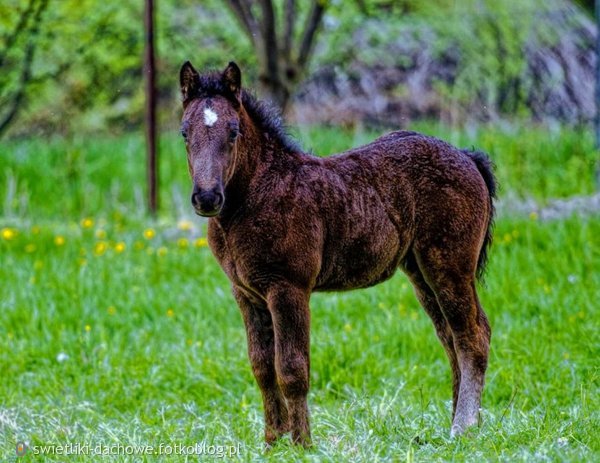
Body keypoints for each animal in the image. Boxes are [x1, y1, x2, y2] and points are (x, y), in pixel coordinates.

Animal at [179, 60, 496, 446]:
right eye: (184, 133)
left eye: (234, 131)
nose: (207, 197)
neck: (258, 195)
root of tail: (467, 156)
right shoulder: (246, 294)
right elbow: (262, 367)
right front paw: (272, 443)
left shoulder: (288, 288)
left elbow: (292, 369)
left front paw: (302, 444)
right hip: (421, 272)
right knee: (451, 338)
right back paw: (462, 425)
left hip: (449, 265)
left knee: (472, 336)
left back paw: (463, 427)